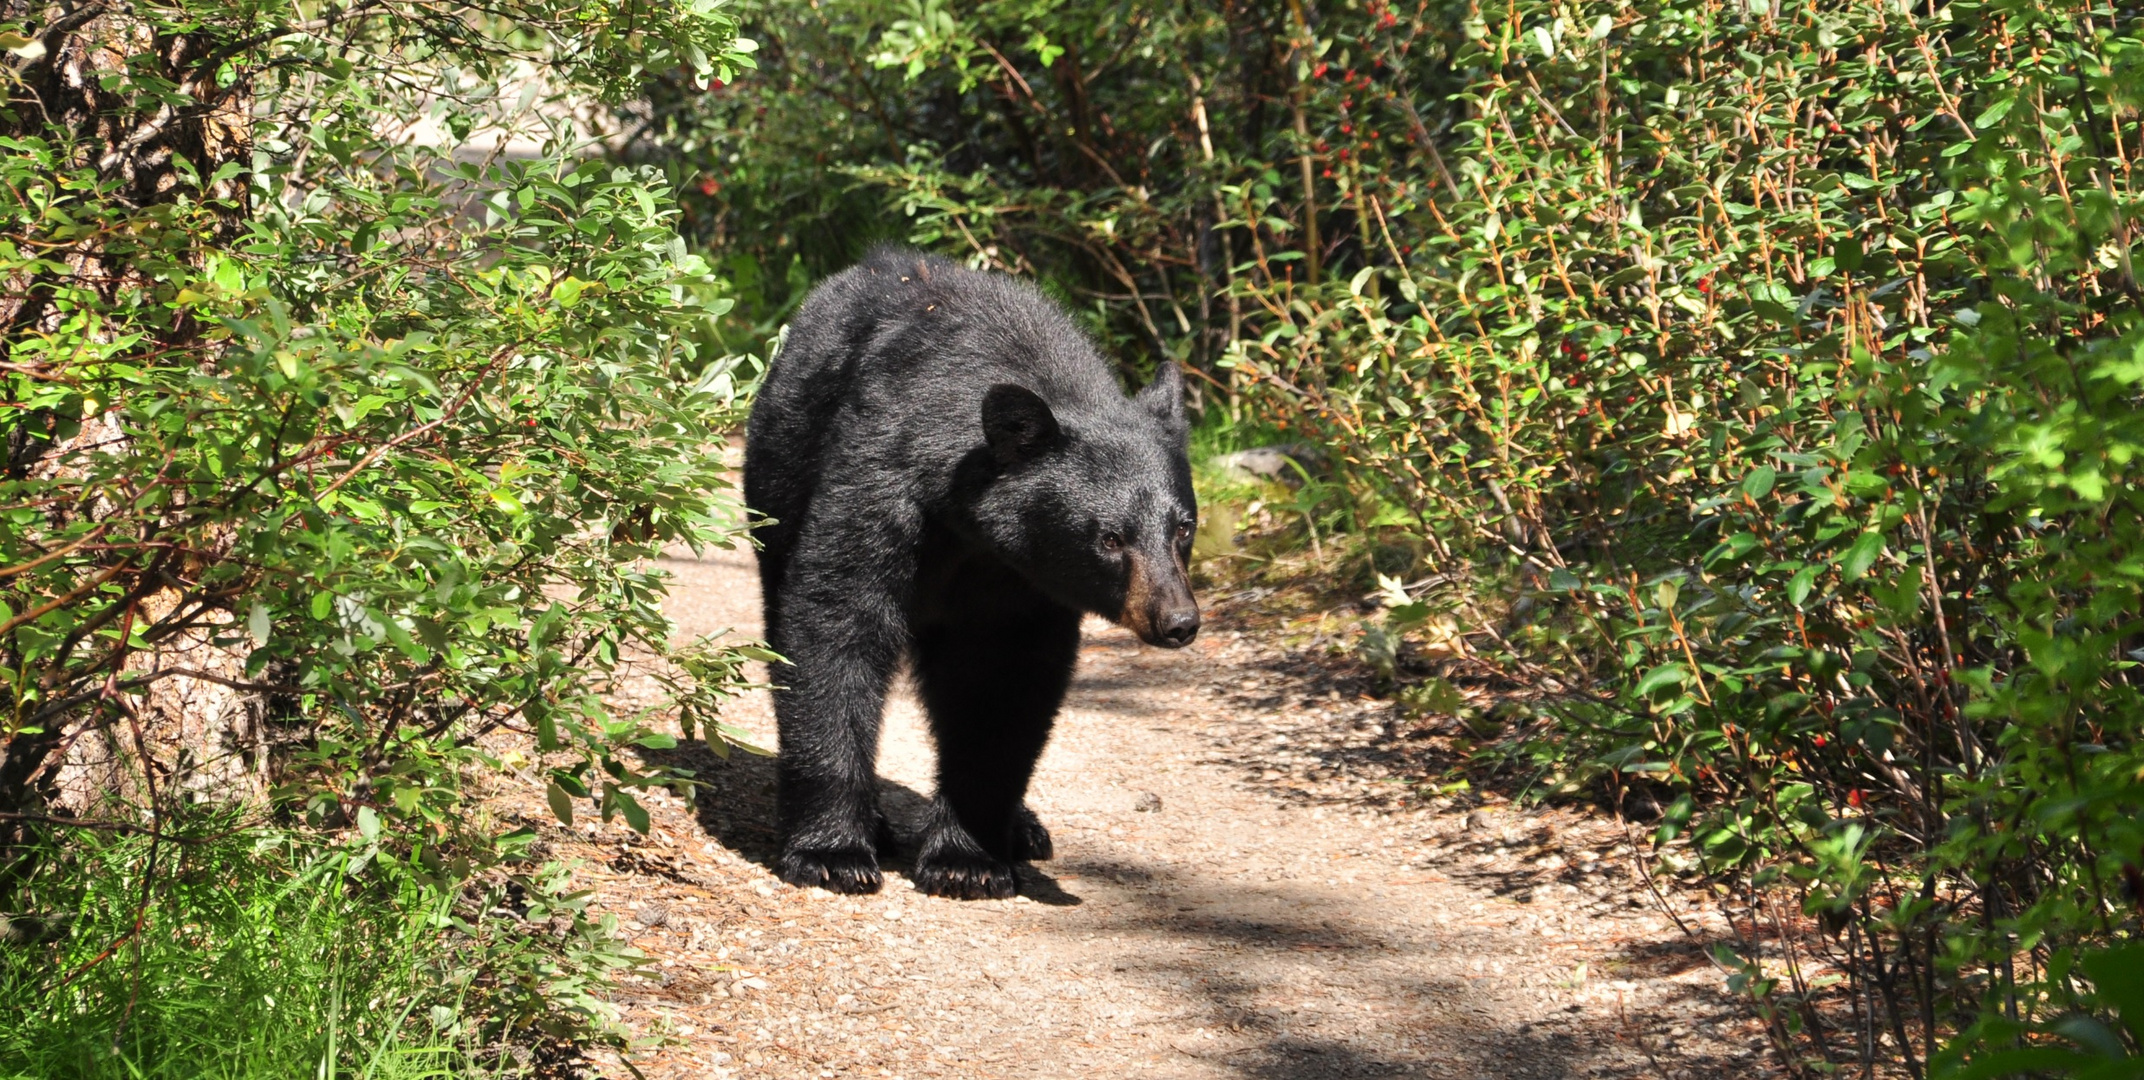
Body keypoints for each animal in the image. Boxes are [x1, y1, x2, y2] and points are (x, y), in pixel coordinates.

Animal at [746, 248, 1200, 900]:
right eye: (1110, 538)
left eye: (1183, 527)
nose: (1178, 621)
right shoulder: (877, 479)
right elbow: (835, 621)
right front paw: (833, 852)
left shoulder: (1021, 579)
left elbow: (1001, 680)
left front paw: (968, 860)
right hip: (777, 483)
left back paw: (1024, 829)